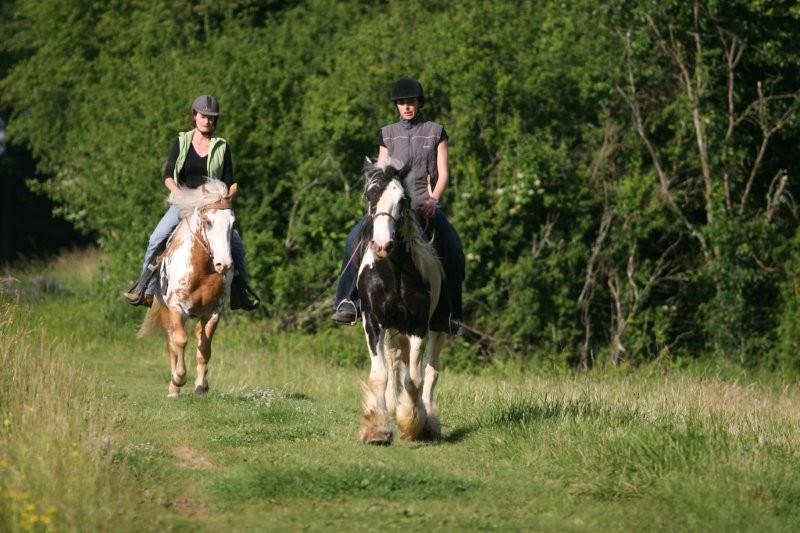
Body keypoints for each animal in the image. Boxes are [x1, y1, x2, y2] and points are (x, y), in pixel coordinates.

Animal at [139, 181, 238, 396]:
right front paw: (178, 379)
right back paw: (173, 388)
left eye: (232, 224)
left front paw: (200, 386)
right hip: (165, 311)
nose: (224, 264)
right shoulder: (177, 308)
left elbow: (205, 348)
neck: (202, 270)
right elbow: (180, 341)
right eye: (208, 222)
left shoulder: (213, 312)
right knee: (171, 342)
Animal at [358, 156, 446, 442]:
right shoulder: (373, 322)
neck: (393, 271)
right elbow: (380, 376)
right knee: (396, 364)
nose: (382, 245)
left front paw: (411, 421)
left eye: (402, 200)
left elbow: (415, 380)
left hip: (439, 326)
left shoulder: (418, 326)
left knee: (430, 370)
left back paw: (427, 420)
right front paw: (379, 428)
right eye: (370, 195)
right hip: (394, 329)